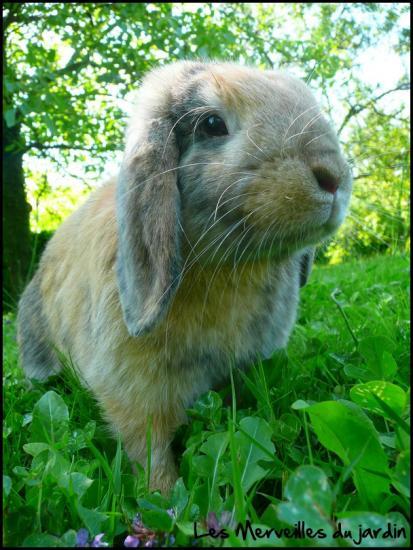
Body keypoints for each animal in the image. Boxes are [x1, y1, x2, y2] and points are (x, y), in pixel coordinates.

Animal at [16, 59, 350, 492]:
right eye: (211, 124)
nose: (333, 176)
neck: (227, 268)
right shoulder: (136, 396)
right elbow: (149, 450)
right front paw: (165, 496)